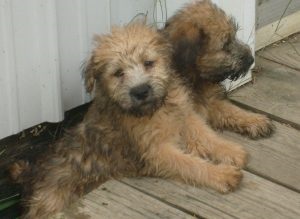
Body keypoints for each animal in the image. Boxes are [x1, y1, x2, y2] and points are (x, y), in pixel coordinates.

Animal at [163, 0, 276, 139]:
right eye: (225, 44)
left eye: (233, 36)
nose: (251, 59)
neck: (194, 78)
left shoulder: (212, 102)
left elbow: (231, 110)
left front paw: (256, 120)